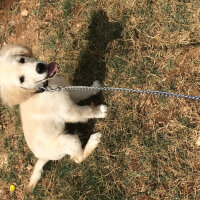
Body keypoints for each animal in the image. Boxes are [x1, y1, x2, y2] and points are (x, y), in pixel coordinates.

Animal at [0, 44, 108, 191]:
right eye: (21, 79)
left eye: (21, 60)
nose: (40, 67)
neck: (43, 89)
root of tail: (42, 157)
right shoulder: (69, 111)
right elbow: (87, 111)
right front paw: (100, 111)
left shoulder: (68, 90)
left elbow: (83, 91)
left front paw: (95, 87)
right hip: (68, 140)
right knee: (78, 158)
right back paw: (93, 140)